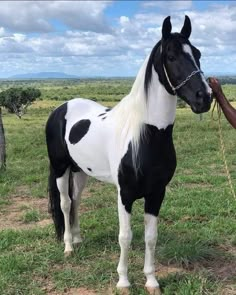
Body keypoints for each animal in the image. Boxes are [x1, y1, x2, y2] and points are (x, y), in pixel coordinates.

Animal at [45, 15, 211, 294]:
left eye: (197, 54)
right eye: (171, 56)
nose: (205, 97)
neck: (144, 136)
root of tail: (62, 108)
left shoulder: (156, 193)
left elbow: (150, 237)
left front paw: (151, 281)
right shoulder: (125, 194)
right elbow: (125, 237)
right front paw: (123, 281)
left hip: (80, 171)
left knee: (76, 200)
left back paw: (78, 239)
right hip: (60, 168)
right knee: (66, 203)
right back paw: (68, 246)